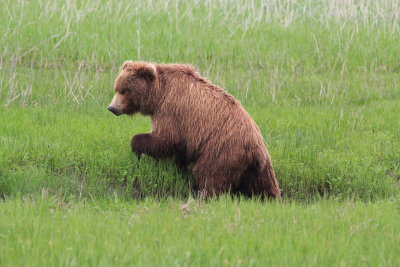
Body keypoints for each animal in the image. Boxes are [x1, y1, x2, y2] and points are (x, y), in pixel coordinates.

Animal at [108, 61, 280, 199]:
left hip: (221, 150)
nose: (112, 108)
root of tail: (255, 149)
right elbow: (179, 151)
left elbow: (164, 139)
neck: (159, 94)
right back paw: (271, 198)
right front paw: (178, 168)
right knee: (263, 185)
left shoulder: (171, 110)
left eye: (124, 90)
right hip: (259, 167)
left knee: (209, 175)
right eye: (116, 88)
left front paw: (136, 146)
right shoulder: (186, 134)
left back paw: (205, 195)